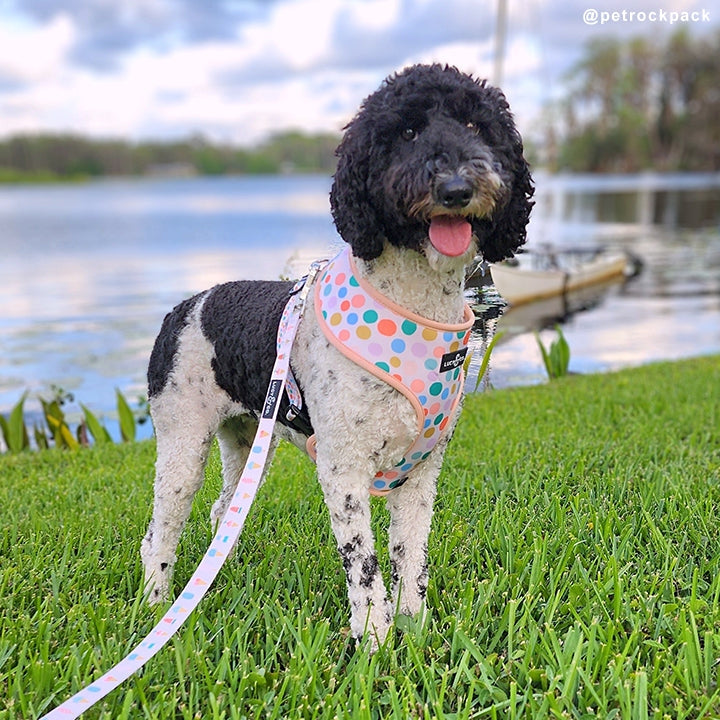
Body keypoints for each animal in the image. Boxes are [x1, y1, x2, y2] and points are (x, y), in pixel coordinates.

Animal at [142, 63, 536, 648]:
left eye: (476, 125)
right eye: (406, 133)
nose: (457, 188)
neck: (411, 304)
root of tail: (184, 308)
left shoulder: (422, 473)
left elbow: (410, 558)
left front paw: (415, 628)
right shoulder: (343, 466)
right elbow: (365, 567)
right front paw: (373, 640)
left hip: (246, 440)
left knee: (221, 511)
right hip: (181, 443)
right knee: (160, 530)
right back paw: (156, 606)